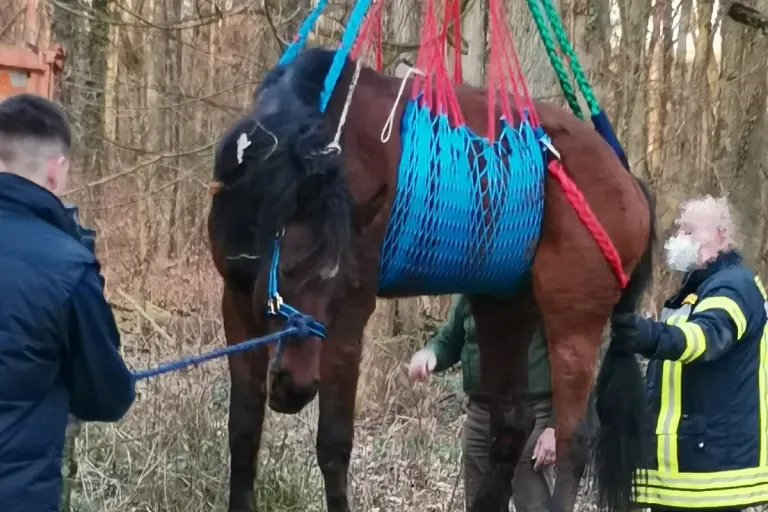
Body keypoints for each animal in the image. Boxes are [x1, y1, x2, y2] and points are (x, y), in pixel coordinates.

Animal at [207, 47, 655, 512]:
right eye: (287, 271)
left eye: (337, 286)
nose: (295, 387)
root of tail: (628, 181)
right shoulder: (236, 303)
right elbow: (243, 430)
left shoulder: (350, 317)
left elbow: (333, 444)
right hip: (503, 308)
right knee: (513, 424)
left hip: (572, 325)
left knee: (572, 440)